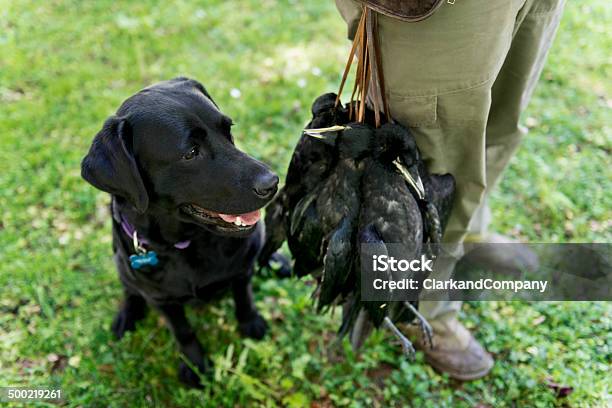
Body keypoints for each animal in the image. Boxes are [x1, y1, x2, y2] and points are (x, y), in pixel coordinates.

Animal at [81, 78, 280, 388]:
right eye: (191, 152)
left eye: (228, 131)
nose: (272, 183)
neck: (184, 243)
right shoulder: (164, 301)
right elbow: (183, 332)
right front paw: (195, 365)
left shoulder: (243, 268)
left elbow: (244, 297)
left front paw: (251, 324)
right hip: (121, 264)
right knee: (129, 289)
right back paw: (127, 315)